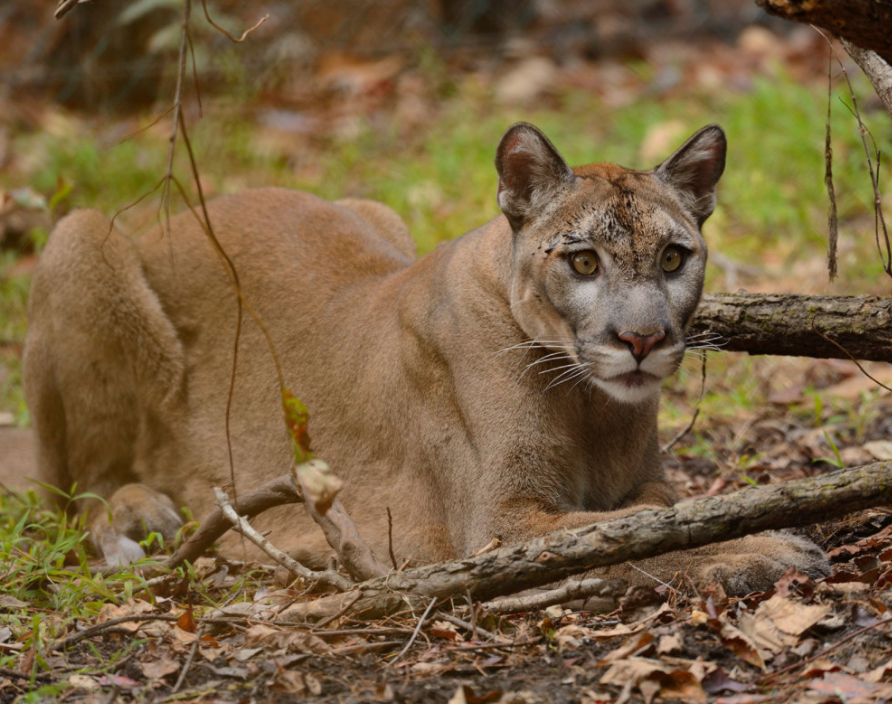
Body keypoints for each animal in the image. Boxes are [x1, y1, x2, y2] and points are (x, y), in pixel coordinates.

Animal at [22, 122, 828, 592]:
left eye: (672, 257)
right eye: (583, 262)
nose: (642, 340)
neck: (589, 403)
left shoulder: (637, 481)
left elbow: (660, 510)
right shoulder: (501, 521)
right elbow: (620, 534)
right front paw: (764, 550)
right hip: (80, 238)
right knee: (75, 488)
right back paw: (137, 517)